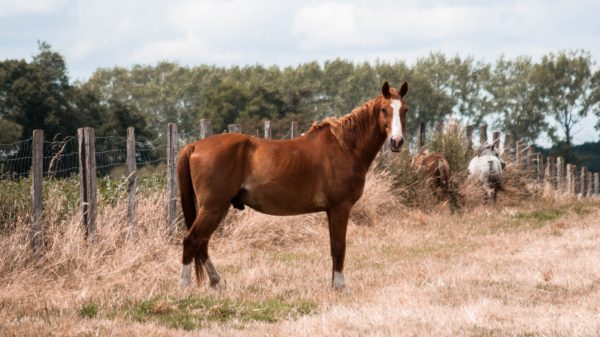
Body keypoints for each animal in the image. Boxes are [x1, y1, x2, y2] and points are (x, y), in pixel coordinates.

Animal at [177, 80, 408, 288]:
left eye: (404, 110)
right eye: (384, 109)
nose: (397, 142)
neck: (344, 147)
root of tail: (195, 145)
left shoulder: (332, 210)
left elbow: (334, 247)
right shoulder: (339, 208)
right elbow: (339, 247)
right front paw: (340, 286)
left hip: (219, 207)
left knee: (202, 242)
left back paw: (216, 281)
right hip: (213, 207)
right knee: (191, 241)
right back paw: (185, 288)